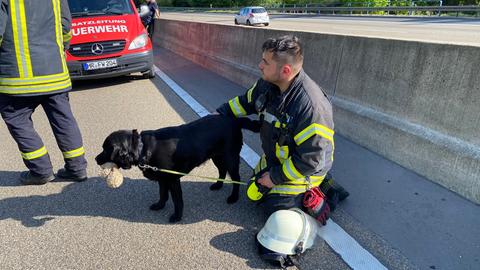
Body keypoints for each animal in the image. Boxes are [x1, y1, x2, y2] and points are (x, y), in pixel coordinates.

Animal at [94, 115, 258, 223]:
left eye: (105, 149)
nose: (95, 159)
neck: (142, 148)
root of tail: (234, 119)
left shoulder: (173, 180)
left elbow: (177, 200)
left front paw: (177, 217)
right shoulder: (162, 179)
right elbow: (162, 194)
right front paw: (159, 206)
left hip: (230, 157)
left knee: (236, 178)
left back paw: (233, 197)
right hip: (217, 156)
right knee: (222, 171)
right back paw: (217, 185)